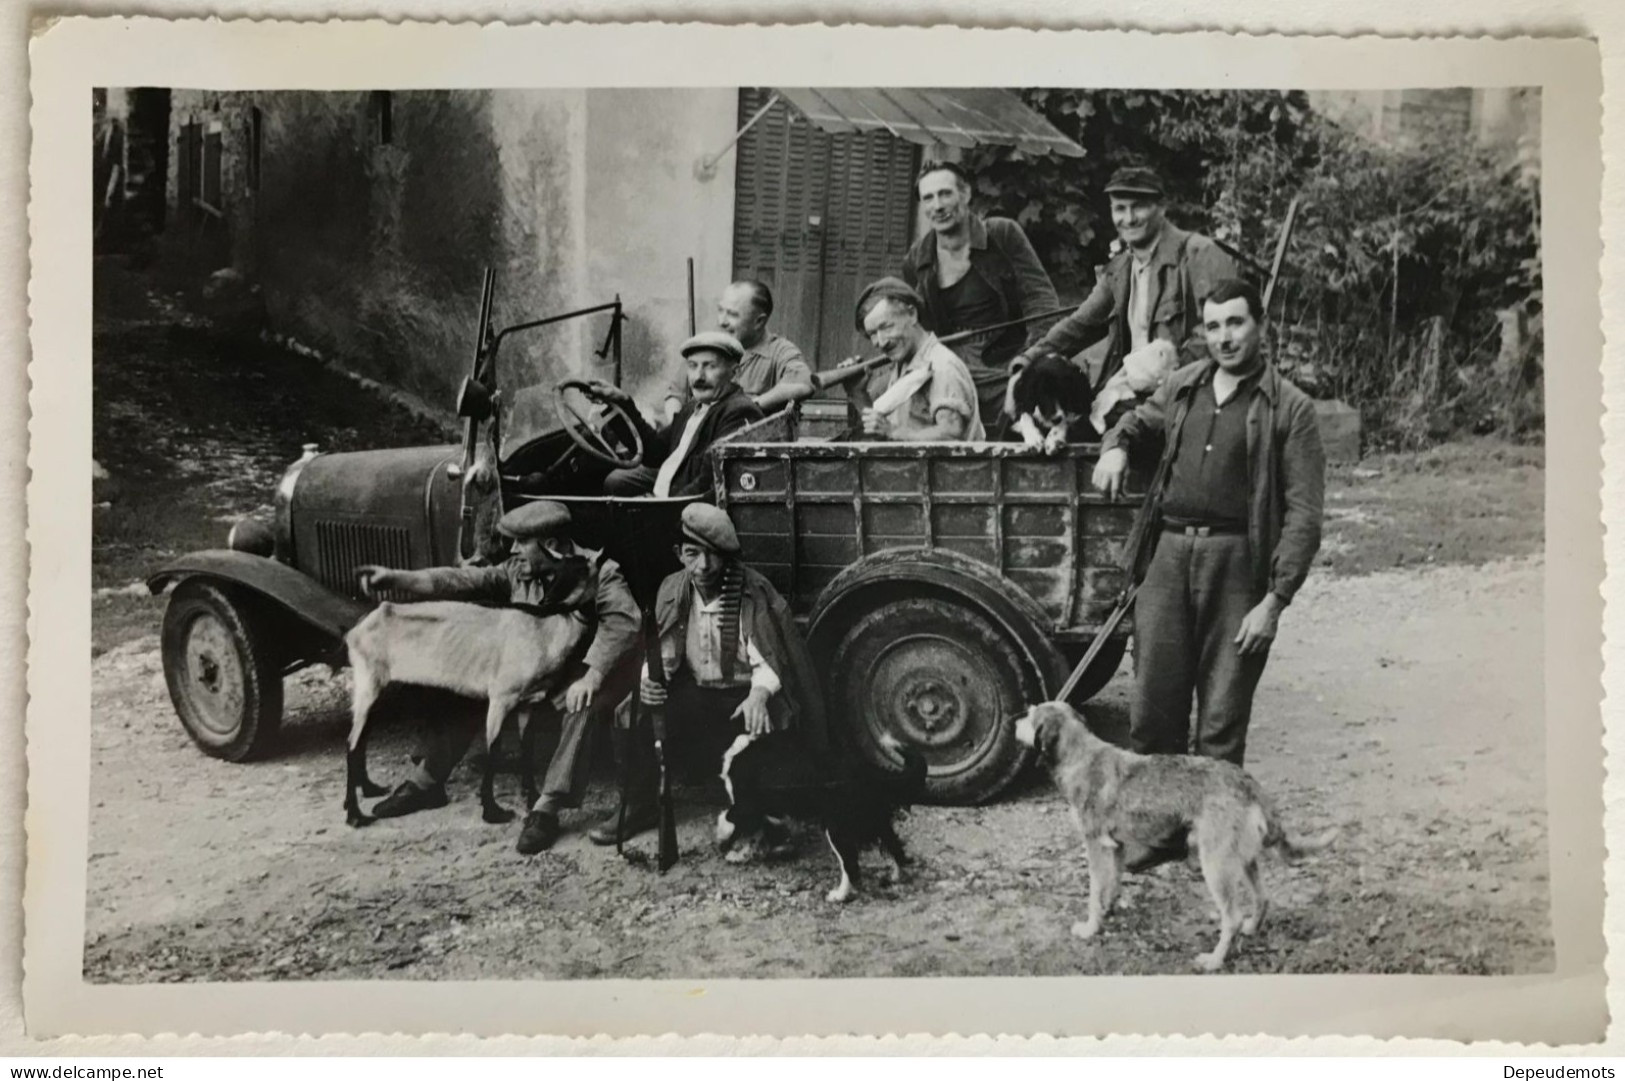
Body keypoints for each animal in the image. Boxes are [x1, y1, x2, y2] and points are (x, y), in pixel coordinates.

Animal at [715, 725, 929, 903]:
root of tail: (869, 770)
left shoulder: (745, 806)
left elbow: (728, 820)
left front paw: (728, 844)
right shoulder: (757, 812)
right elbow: (755, 834)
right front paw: (741, 855)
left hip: (837, 828)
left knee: (851, 865)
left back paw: (839, 896)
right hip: (875, 820)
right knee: (895, 846)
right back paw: (896, 876)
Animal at [1014, 698, 1332, 968]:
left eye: (1030, 716)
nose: (1013, 722)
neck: (1081, 756)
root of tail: (1247, 783)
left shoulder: (1096, 846)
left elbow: (1094, 892)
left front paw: (1091, 927)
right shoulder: (1116, 847)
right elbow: (1112, 884)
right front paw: (1108, 911)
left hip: (1216, 865)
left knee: (1232, 917)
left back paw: (1215, 960)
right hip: (1243, 859)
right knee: (1262, 898)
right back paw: (1252, 928)